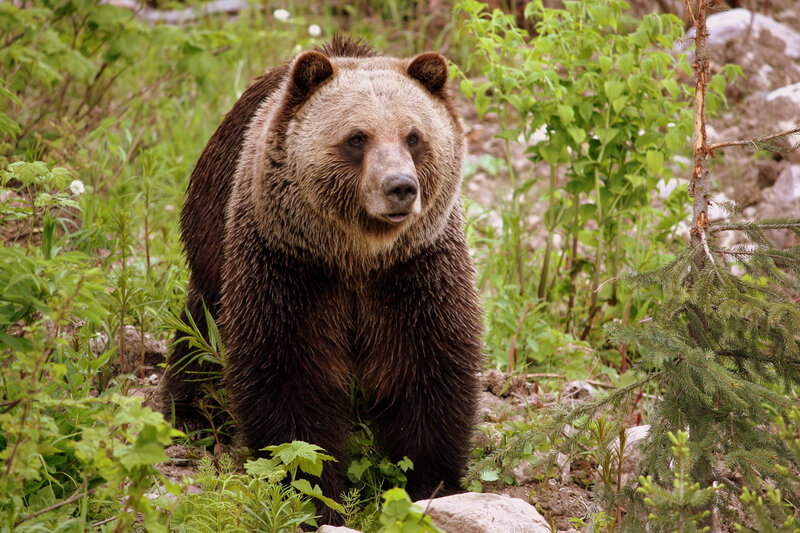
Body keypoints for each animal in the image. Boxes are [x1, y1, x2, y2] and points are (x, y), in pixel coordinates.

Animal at [161, 36, 484, 524]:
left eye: (414, 136)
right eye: (357, 137)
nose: (400, 187)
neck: (357, 256)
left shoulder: (415, 270)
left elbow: (428, 368)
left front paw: (432, 483)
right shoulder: (290, 266)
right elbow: (289, 376)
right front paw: (315, 495)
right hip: (212, 232)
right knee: (200, 328)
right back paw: (189, 413)